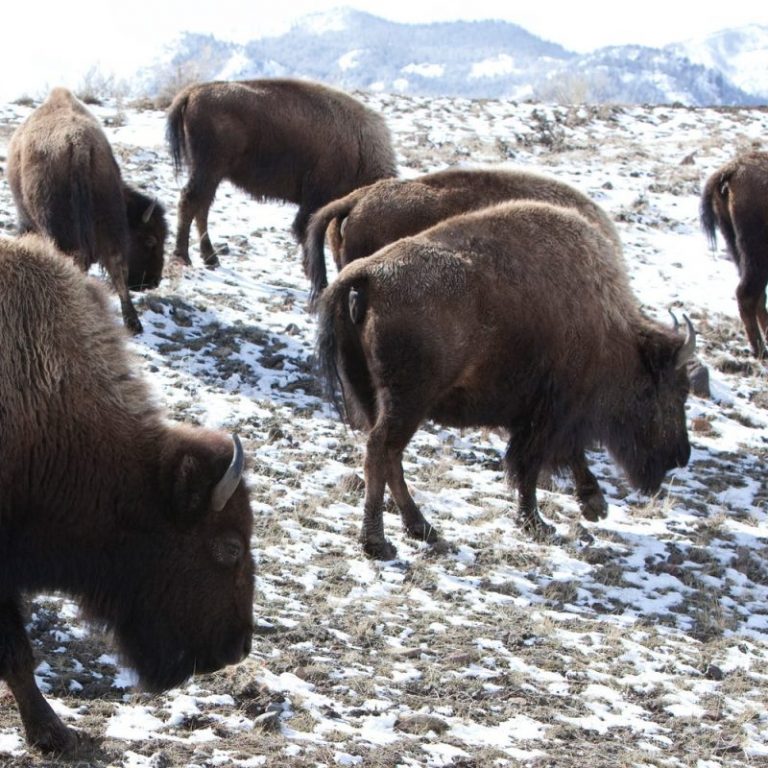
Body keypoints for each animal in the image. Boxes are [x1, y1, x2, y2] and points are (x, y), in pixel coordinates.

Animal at [7, 87, 167, 334]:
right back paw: (132, 323)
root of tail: (78, 144)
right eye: (150, 240)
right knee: (117, 265)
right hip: (109, 220)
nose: (153, 282)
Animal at [166, 78, 397, 268]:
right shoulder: (315, 199)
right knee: (191, 202)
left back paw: (210, 258)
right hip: (209, 170)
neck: (359, 147)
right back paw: (183, 256)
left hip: (211, 174)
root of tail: (193, 92)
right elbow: (304, 230)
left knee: (201, 206)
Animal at [317, 201, 694, 559]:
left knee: (389, 457)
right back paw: (378, 543)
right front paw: (541, 523)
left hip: (376, 397)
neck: (613, 333)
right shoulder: (551, 415)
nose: (680, 455)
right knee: (381, 451)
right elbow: (531, 468)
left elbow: (562, 457)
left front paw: (592, 507)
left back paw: (423, 529)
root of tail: (368, 273)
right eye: (673, 392)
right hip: (408, 401)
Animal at [700, 151, 768, 358]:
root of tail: (732, 170)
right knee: (747, 294)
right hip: (757, 255)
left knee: (756, 297)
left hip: (737, 248)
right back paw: (761, 351)